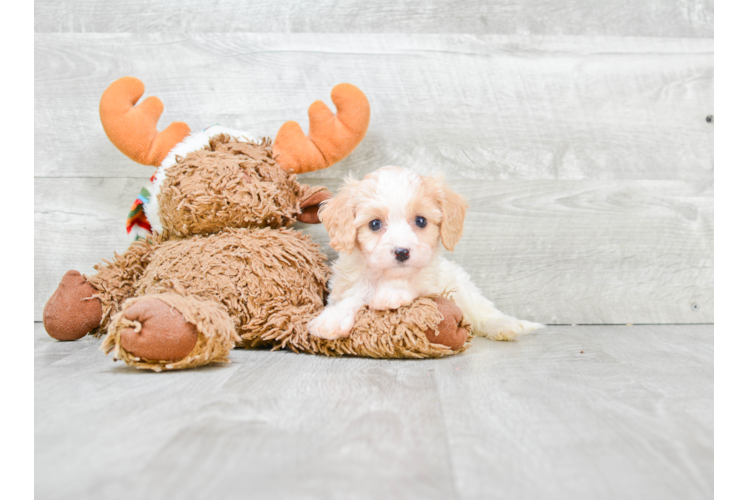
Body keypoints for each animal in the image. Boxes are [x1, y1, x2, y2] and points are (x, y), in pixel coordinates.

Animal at [306, 166, 540, 342]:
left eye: (420, 221)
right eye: (374, 224)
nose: (402, 252)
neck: (387, 276)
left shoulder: (433, 286)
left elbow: (414, 285)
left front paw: (393, 293)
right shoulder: (345, 288)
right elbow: (352, 298)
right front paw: (332, 319)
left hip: (463, 287)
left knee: (482, 311)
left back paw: (504, 325)